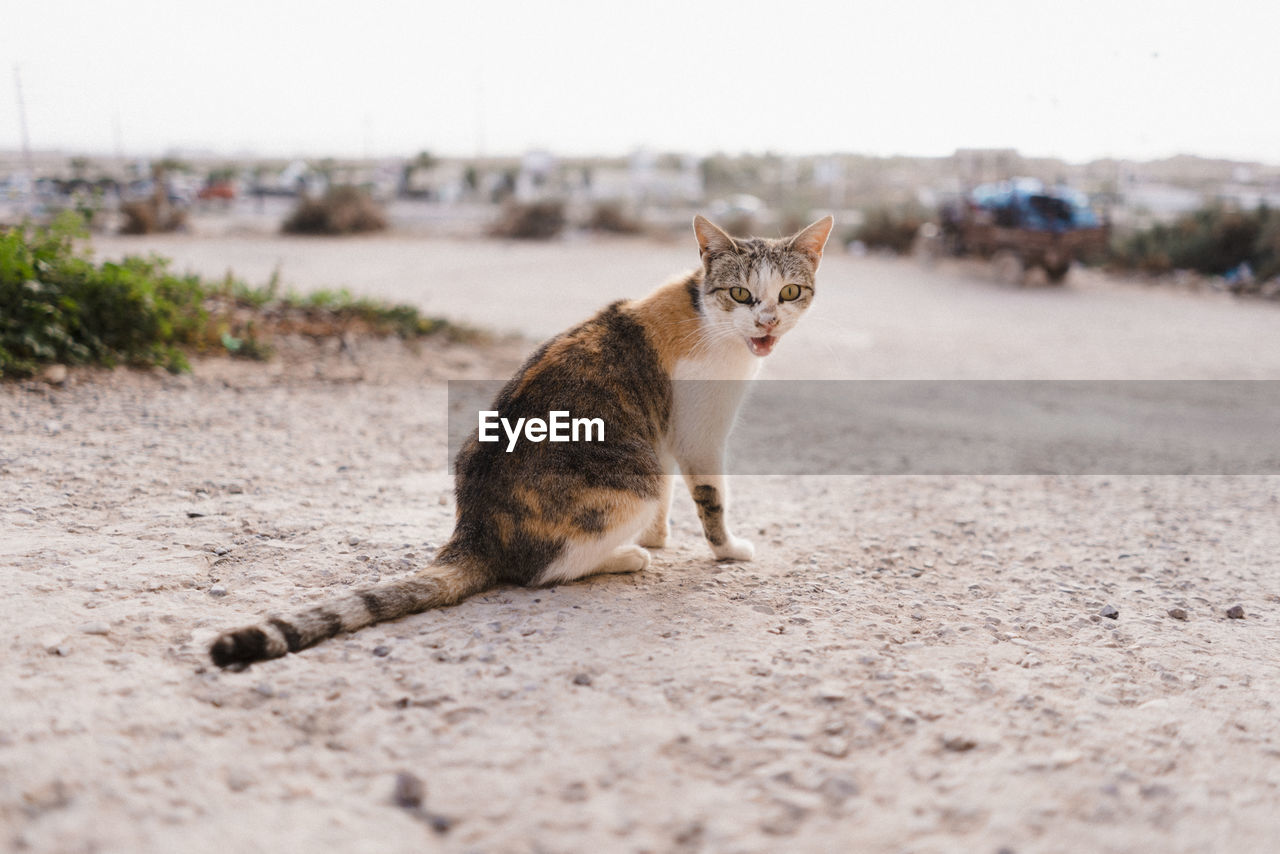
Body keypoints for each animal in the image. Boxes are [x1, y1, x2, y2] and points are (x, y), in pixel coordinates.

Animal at [209, 213, 834, 665]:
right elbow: (711, 499)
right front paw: (726, 550)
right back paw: (624, 557)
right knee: (545, 572)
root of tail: (476, 528)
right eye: (740, 295)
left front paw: (660, 537)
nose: (767, 323)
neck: (704, 313)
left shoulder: (665, 437)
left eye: (789, 292)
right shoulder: (700, 436)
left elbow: (672, 496)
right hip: (626, 486)